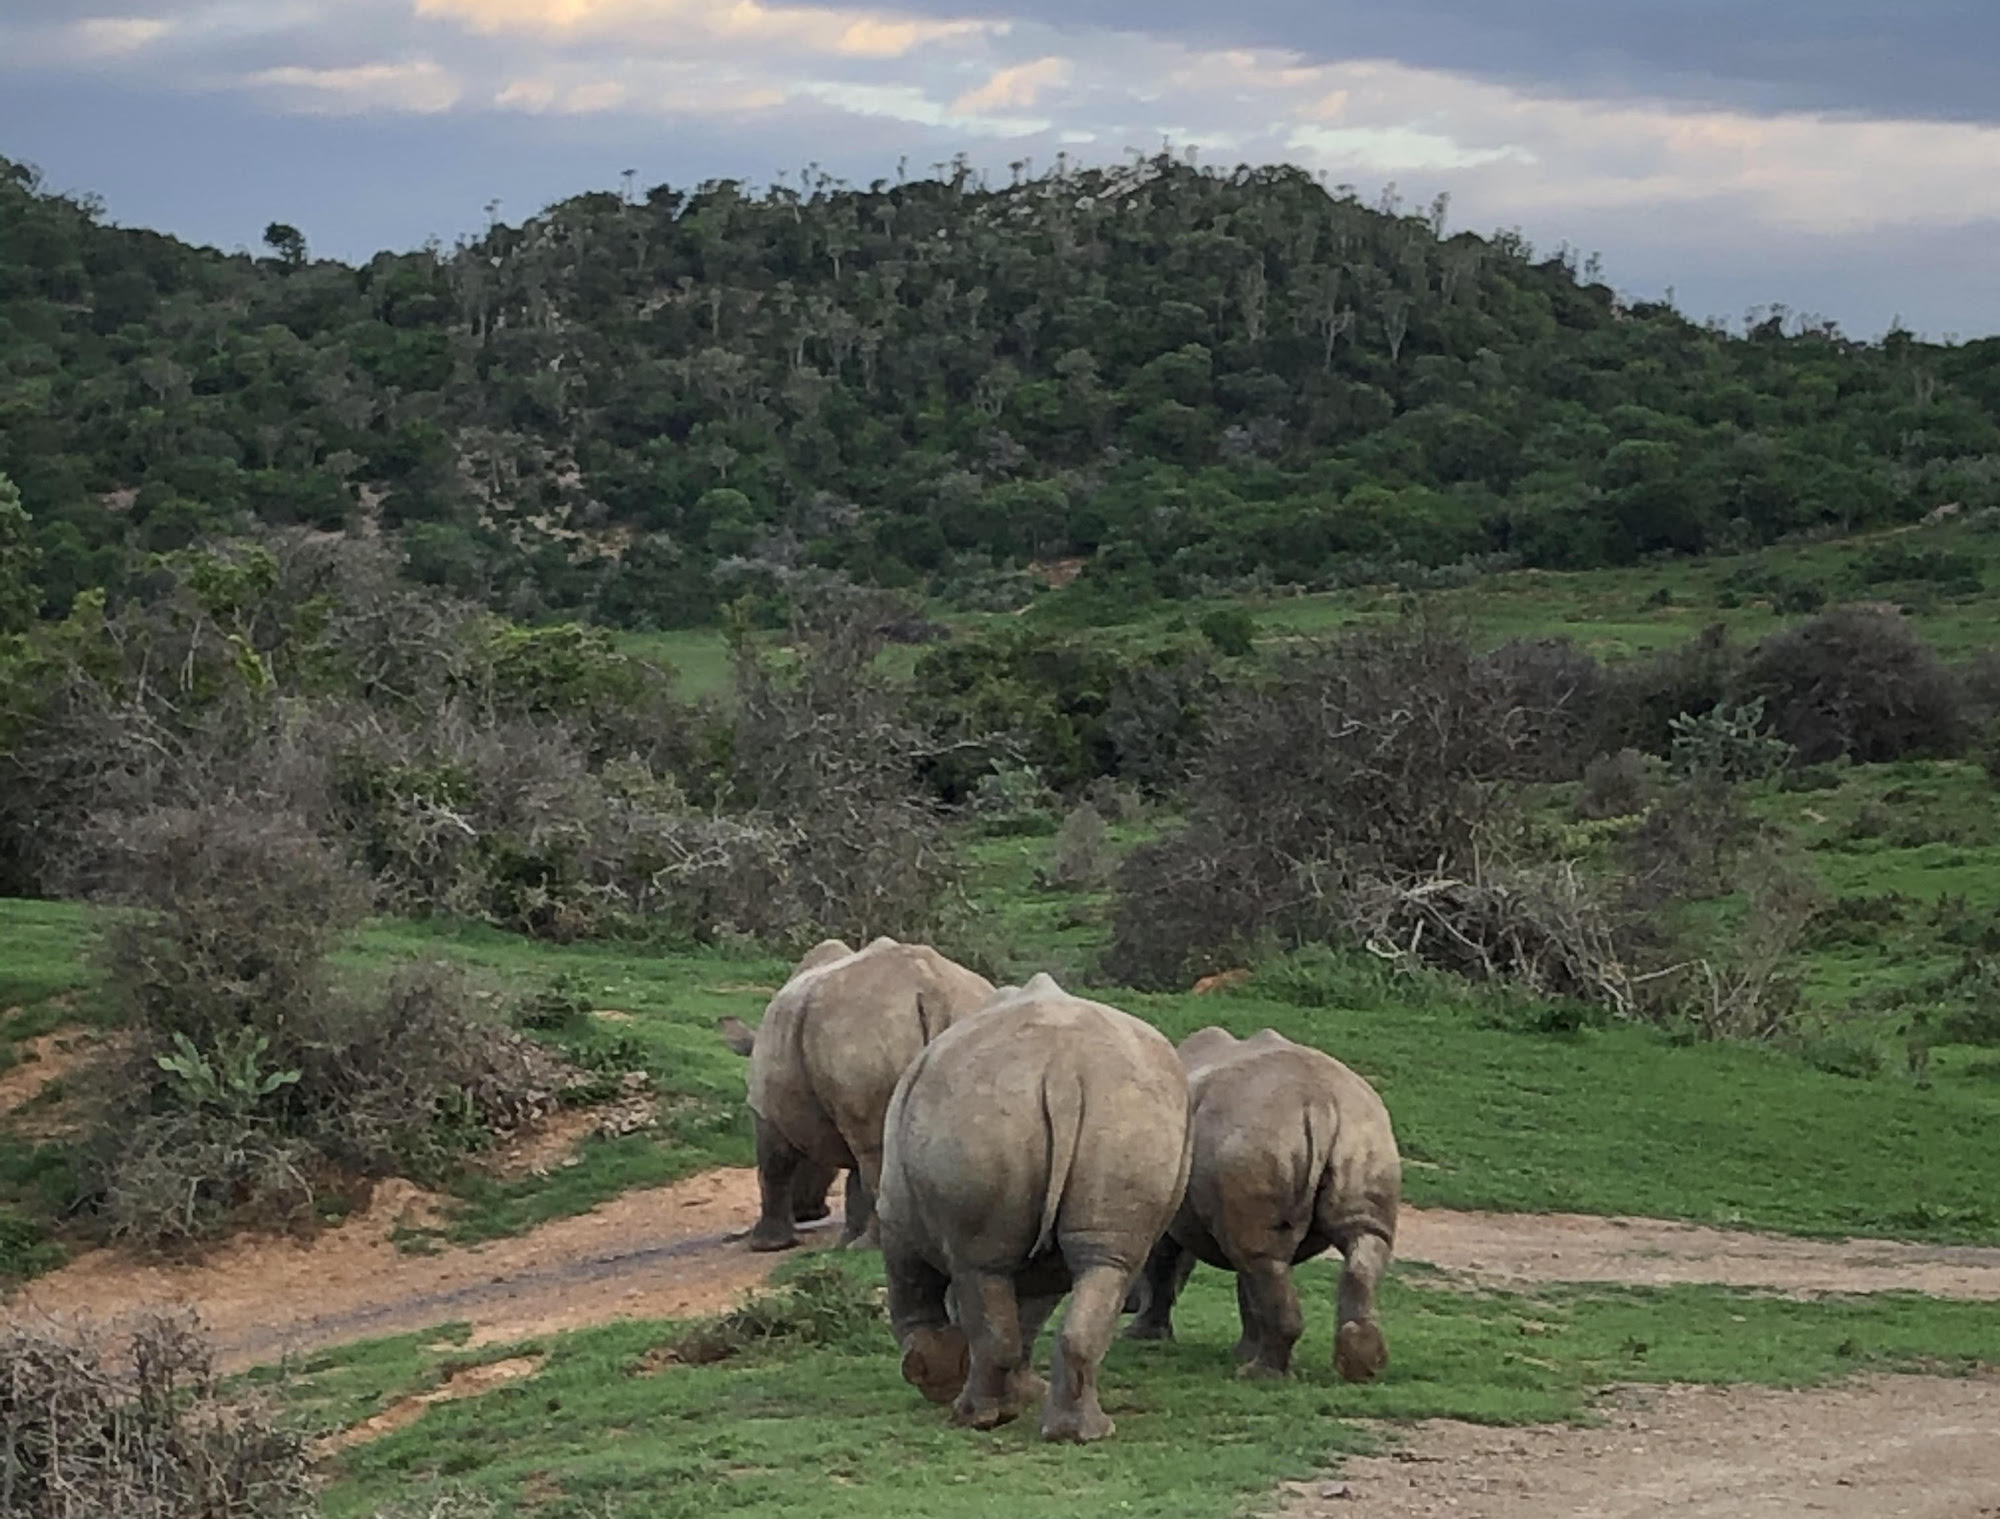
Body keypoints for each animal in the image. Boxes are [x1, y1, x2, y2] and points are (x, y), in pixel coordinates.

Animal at [724, 943, 996, 1255]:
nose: (811, 1212)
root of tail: (932, 989)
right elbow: (854, 1179)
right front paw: (845, 1243)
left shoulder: (765, 1107)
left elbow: (773, 1166)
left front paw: (767, 1245)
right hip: (964, 1031)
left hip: (861, 1030)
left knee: (874, 1150)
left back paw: (872, 1246)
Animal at [876, 979, 1184, 1439]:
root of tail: (1063, 1071)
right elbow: (1031, 1311)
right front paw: (1022, 1394)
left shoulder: (894, 1213)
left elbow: (914, 1287)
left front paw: (931, 1374)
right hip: (1127, 1115)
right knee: (1106, 1262)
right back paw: (1083, 1433)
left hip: (982, 1116)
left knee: (979, 1267)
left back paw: (974, 1418)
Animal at [1120, 1023, 1400, 1383]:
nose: (1125, 1304)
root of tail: (1322, 1103)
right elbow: (1246, 1289)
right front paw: (1243, 1349)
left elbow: (1162, 1267)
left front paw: (1141, 1335)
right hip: (1364, 1134)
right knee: (1357, 1242)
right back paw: (1360, 1366)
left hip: (1255, 1138)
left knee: (1260, 1258)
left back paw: (1258, 1374)